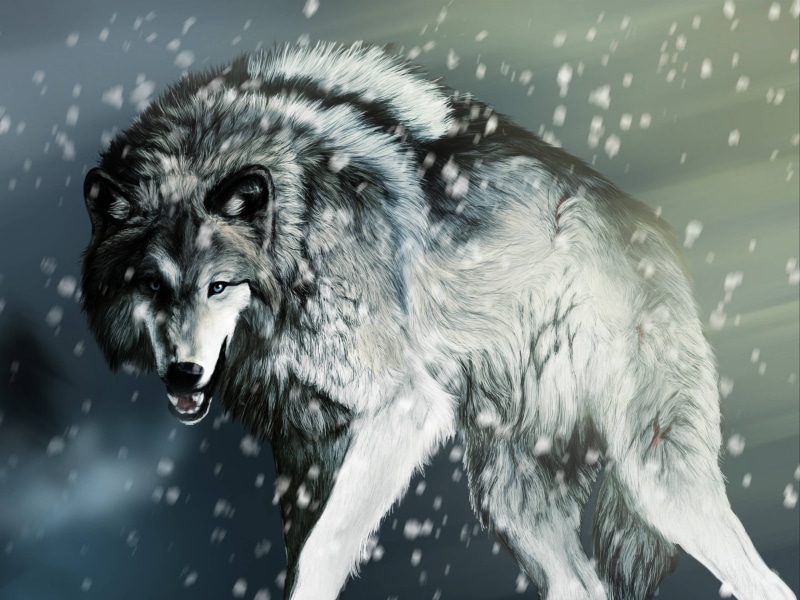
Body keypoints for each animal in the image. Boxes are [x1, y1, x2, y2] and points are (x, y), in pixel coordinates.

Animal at [80, 42, 796, 600]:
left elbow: (324, 551)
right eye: (152, 285)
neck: (298, 234)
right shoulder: (304, 453)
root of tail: (655, 231)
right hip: (511, 501)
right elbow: (300, 557)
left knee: (763, 578)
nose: (183, 373)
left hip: (655, 478)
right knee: (580, 583)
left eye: (219, 285)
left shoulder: (404, 409)